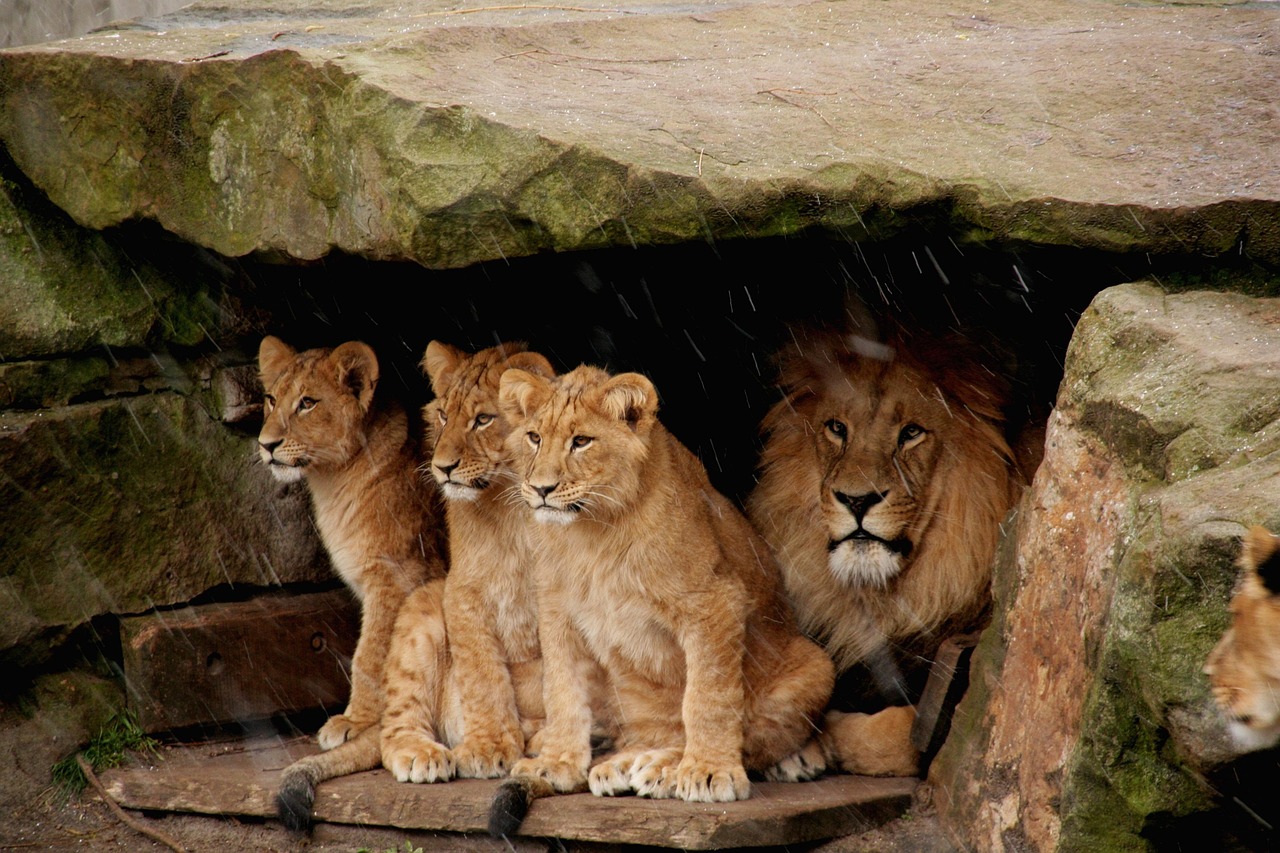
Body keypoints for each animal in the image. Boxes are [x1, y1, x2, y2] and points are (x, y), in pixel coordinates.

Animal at [492, 363, 834, 825]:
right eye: (534, 437)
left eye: (581, 441)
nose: (542, 489)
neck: (592, 532)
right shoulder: (556, 612)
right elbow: (562, 690)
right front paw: (557, 762)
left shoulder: (715, 600)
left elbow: (708, 697)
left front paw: (709, 772)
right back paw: (626, 764)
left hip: (816, 664)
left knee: (744, 735)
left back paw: (665, 769)